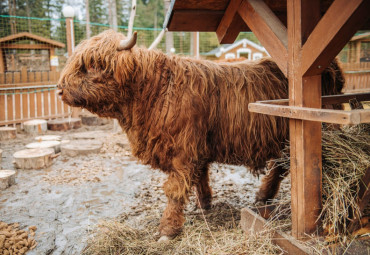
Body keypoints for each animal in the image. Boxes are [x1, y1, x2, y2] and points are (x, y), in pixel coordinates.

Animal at [57, 30, 344, 241]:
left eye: (93, 65)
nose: (59, 89)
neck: (153, 91)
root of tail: (332, 68)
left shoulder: (183, 150)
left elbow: (175, 190)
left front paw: (168, 230)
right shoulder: (197, 148)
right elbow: (200, 177)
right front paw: (205, 204)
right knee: (283, 166)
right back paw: (263, 197)